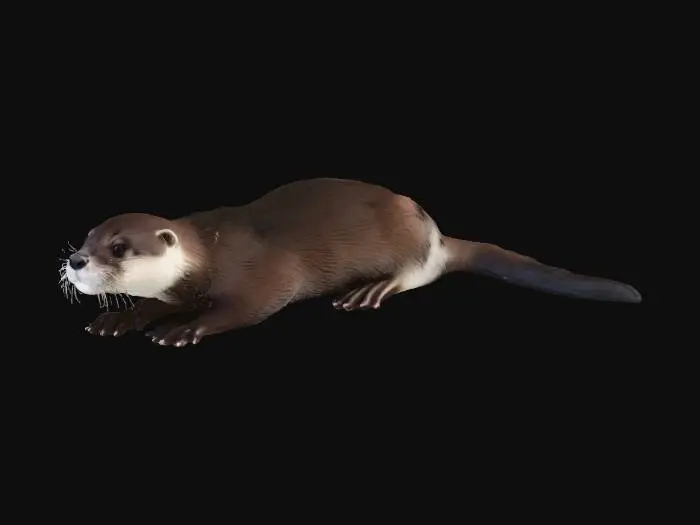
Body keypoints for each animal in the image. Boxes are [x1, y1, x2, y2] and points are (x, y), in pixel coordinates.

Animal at [60, 178, 641, 347]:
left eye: (119, 247)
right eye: (85, 237)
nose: (76, 261)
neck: (208, 251)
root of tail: (434, 231)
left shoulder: (257, 270)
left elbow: (250, 305)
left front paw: (184, 328)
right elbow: (150, 304)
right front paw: (121, 318)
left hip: (408, 248)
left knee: (413, 274)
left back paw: (370, 290)